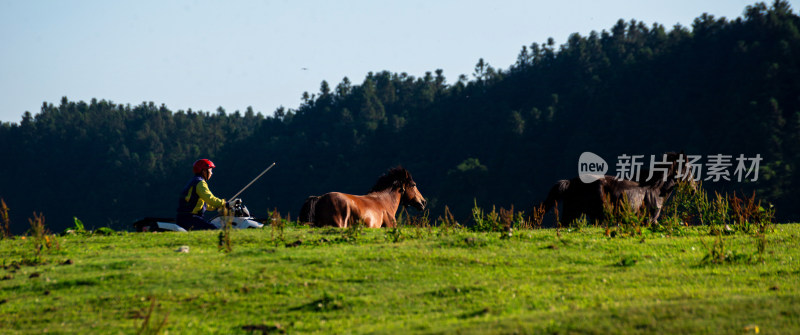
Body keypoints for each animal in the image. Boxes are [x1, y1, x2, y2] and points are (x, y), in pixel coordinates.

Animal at [540, 152, 696, 226]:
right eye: (688, 169)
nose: (694, 189)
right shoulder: (650, 220)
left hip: (573, 213)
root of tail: (571, 182)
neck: (655, 189)